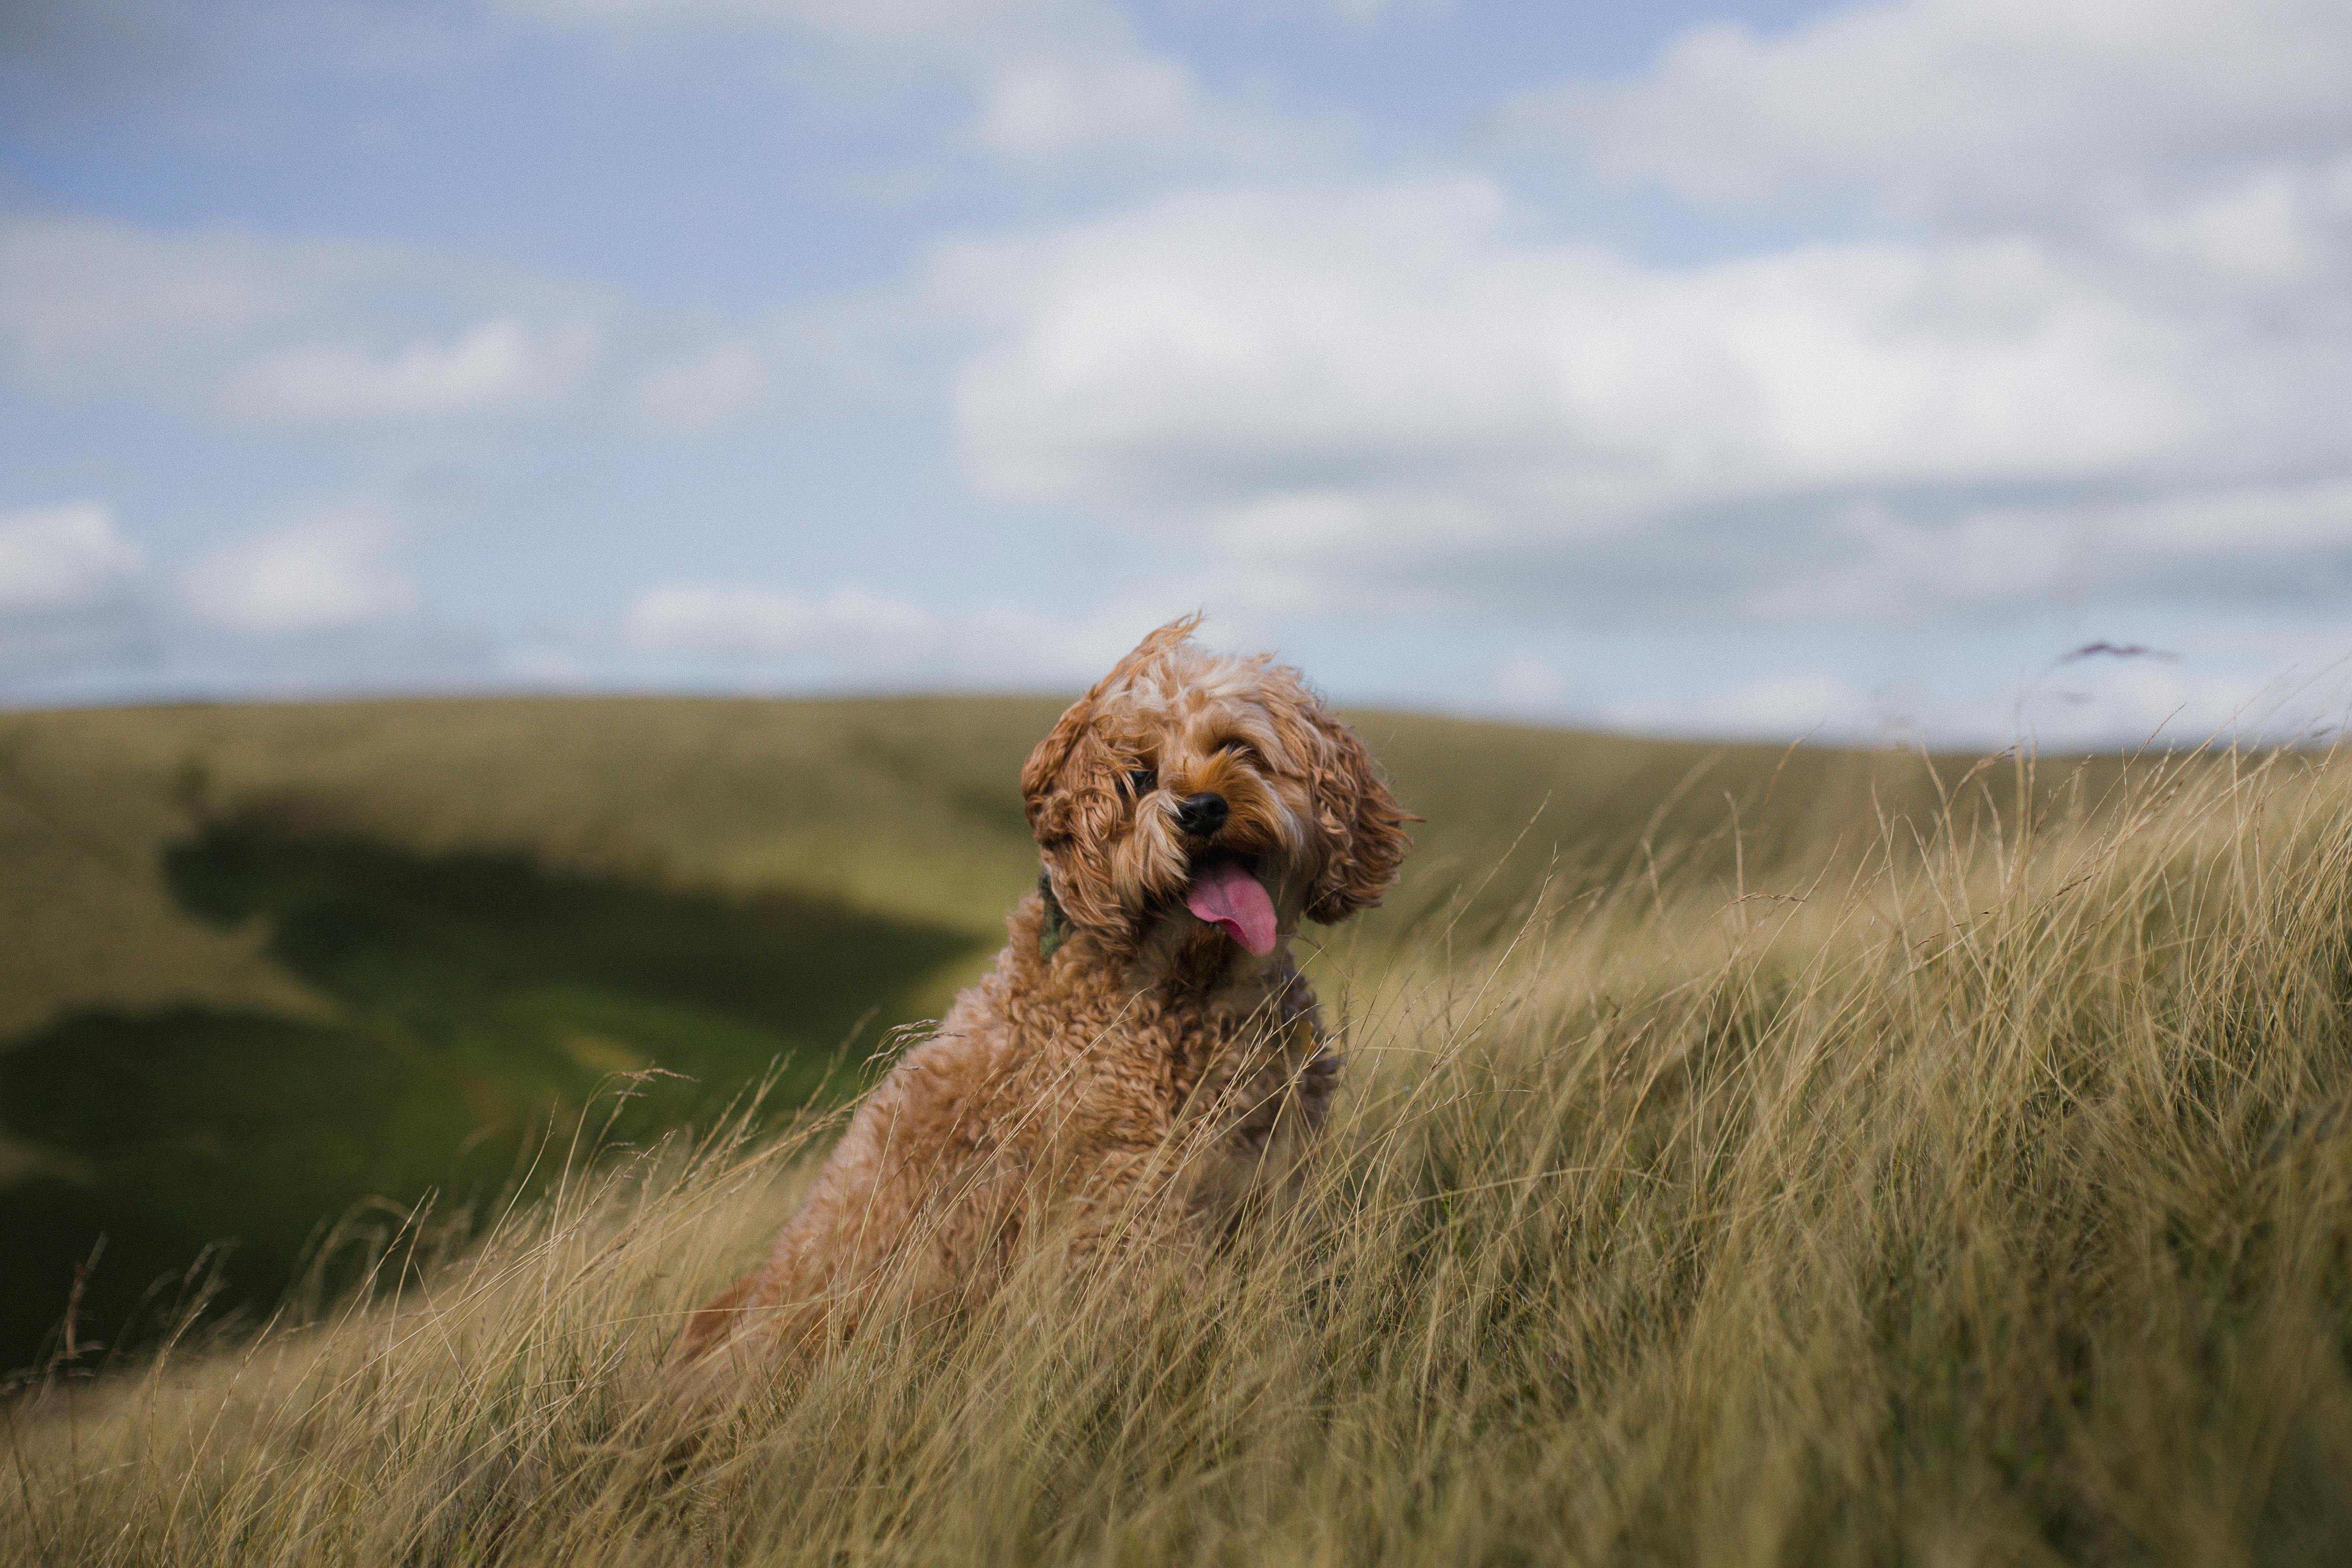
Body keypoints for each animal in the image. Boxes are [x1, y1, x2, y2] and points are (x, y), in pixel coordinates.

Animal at [677, 620, 1411, 1391]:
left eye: (1238, 747)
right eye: (1139, 777)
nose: (1201, 810)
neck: (1190, 985)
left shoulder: (1271, 1177)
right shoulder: (1129, 1199)